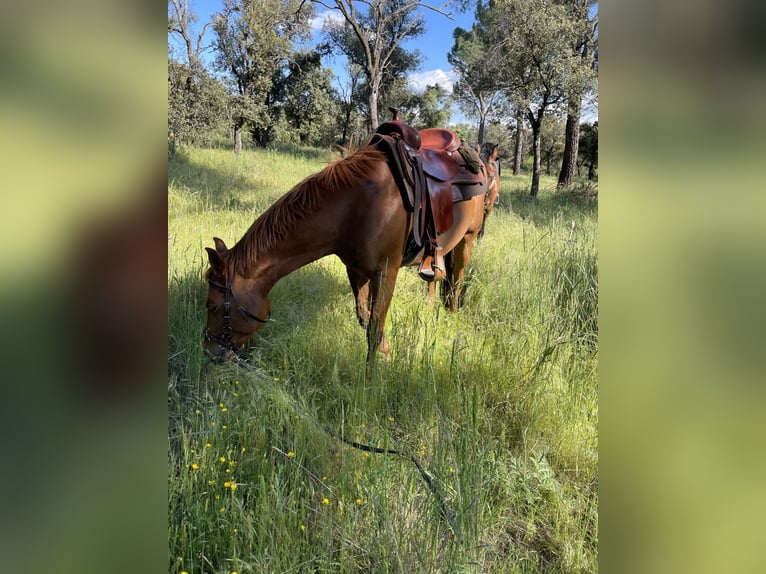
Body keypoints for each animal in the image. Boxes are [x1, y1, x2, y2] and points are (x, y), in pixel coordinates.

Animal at [203, 141, 486, 366]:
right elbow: (365, 318)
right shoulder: (356, 270)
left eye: (212, 306)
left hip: (467, 240)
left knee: (457, 279)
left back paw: (452, 315)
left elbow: (374, 328)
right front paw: (386, 353)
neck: (355, 207)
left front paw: (372, 379)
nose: (209, 350)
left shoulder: (385, 272)